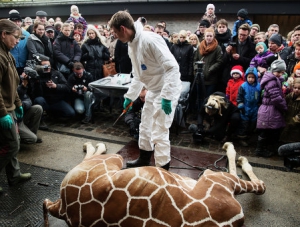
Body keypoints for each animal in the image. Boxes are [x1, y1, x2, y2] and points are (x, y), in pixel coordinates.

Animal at [44, 141, 264, 226]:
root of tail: (62, 208)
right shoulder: (216, 179)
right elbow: (259, 185)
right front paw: (235, 152)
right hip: (113, 160)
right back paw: (93, 144)